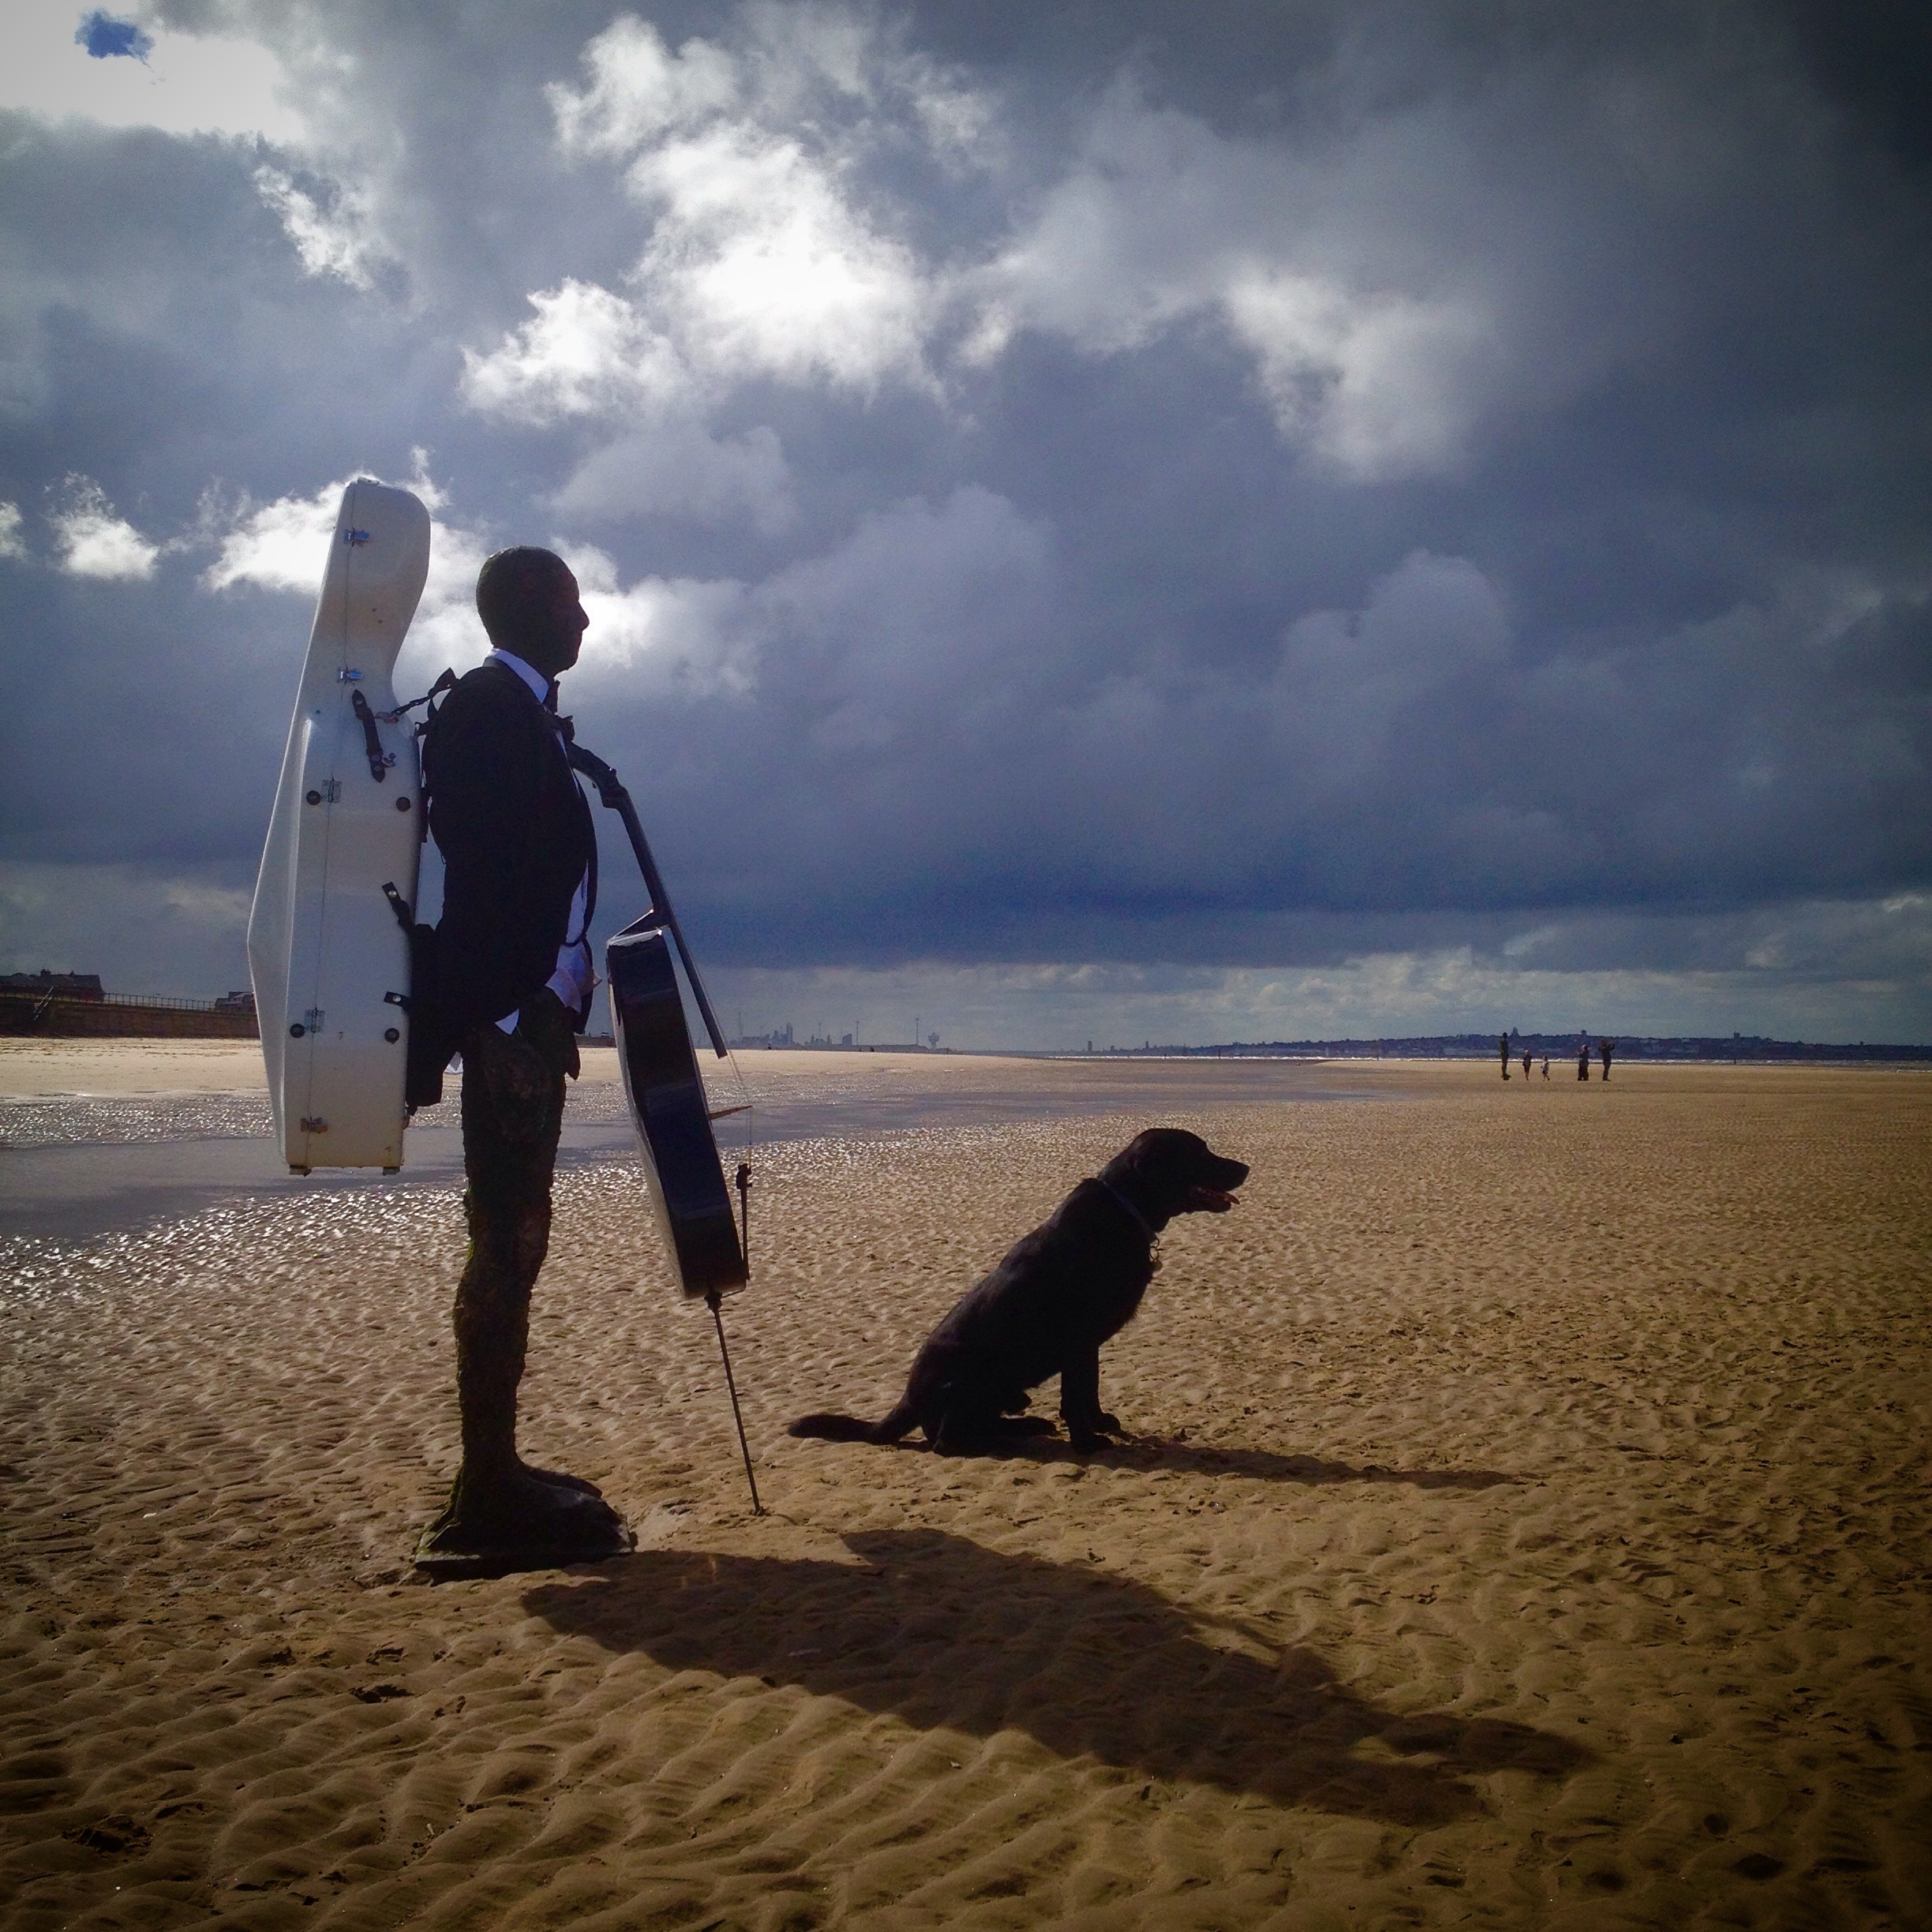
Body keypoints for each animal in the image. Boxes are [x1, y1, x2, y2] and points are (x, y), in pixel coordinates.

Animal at [788, 1128, 1252, 1452]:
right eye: (1199, 1153)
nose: (1247, 1167)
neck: (1125, 1208)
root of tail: (908, 1399)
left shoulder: (1089, 1343)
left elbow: (1090, 1388)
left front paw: (1099, 1422)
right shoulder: (1076, 1337)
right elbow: (1074, 1395)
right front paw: (1087, 1443)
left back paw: (1028, 1425)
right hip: (970, 1377)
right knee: (948, 1443)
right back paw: (1014, 1439)